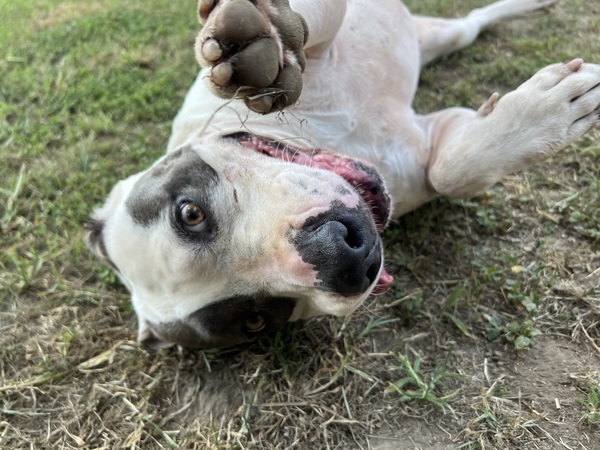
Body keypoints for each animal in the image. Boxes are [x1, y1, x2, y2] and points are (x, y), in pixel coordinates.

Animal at [85, 0, 600, 349]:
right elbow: (451, 171)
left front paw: (265, 42)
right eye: (256, 319)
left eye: (189, 214)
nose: (340, 258)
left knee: (472, 21)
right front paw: (544, 115)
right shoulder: (430, 150)